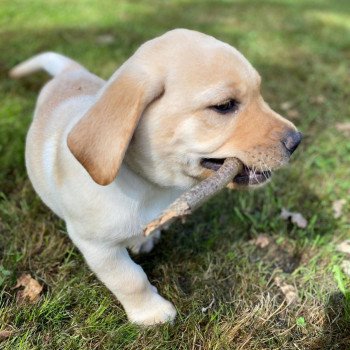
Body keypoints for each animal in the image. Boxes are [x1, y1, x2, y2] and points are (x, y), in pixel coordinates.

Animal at [10, 29, 300, 326]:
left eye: (260, 93)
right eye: (224, 106)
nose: (296, 141)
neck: (150, 186)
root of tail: (70, 71)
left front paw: (144, 240)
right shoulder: (96, 246)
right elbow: (129, 279)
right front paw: (152, 314)